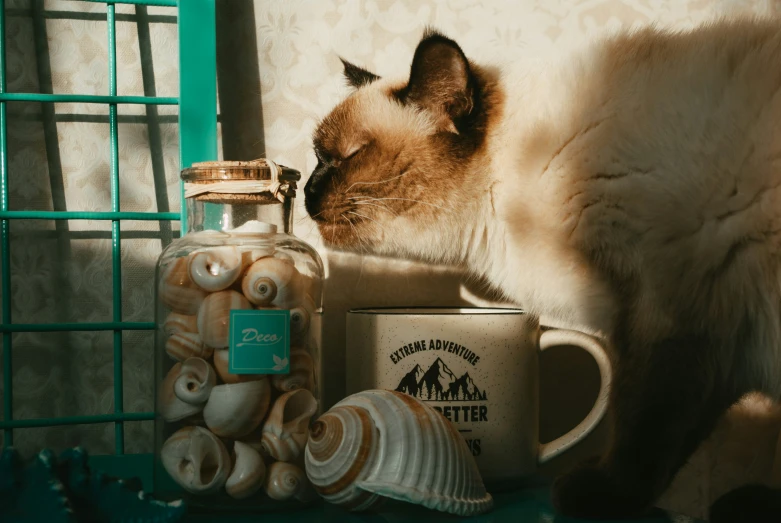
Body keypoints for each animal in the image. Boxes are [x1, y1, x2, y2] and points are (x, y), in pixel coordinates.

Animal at [302, 18, 780, 520]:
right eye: (318, 158)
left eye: (345, 157)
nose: (307, 191)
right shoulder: (703, 333)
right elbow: (665, 433)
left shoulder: (667, 311)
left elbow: (643, 424)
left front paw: (596, 496)